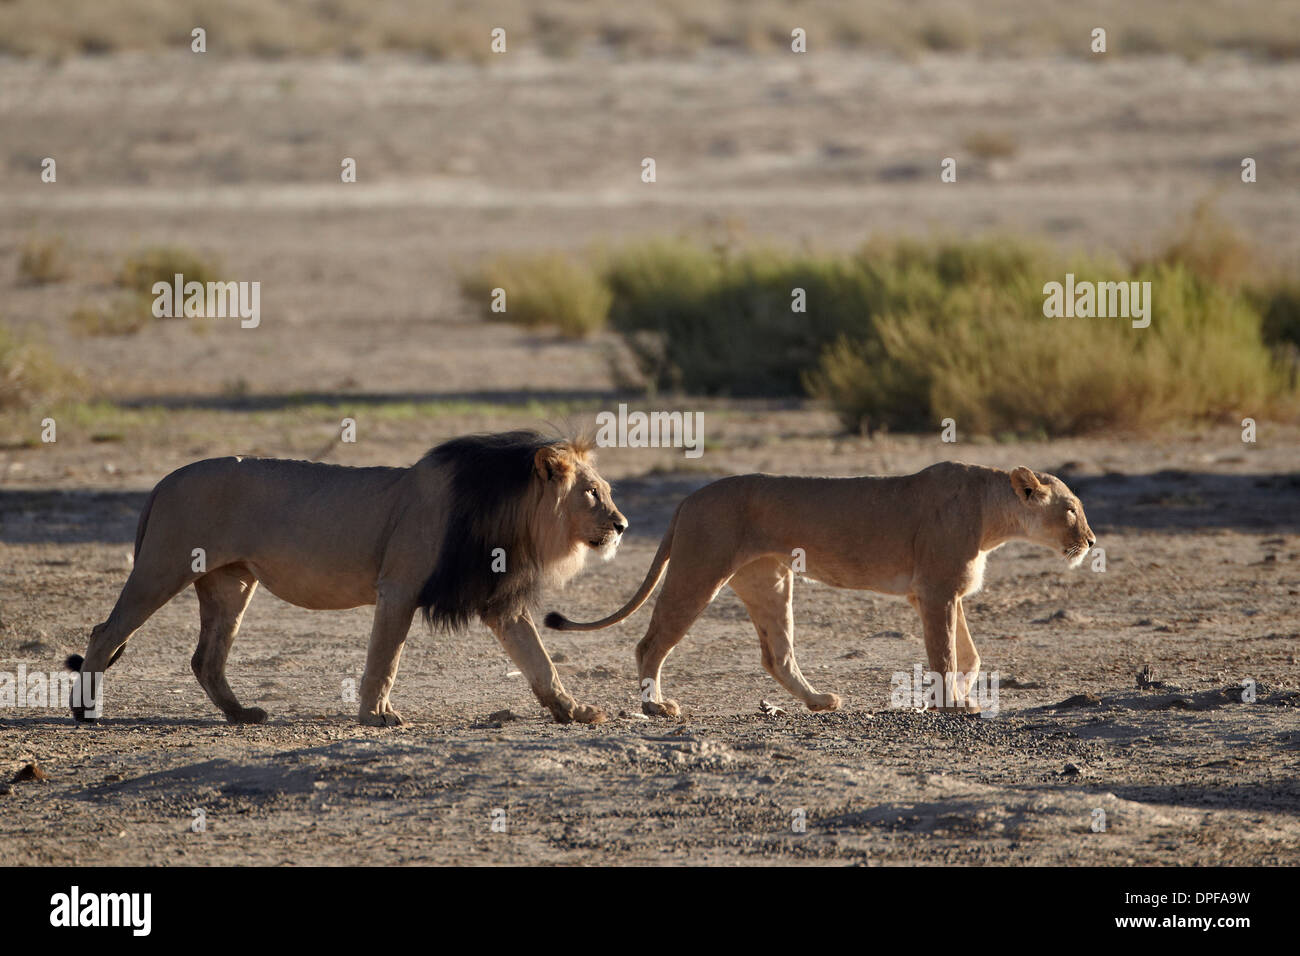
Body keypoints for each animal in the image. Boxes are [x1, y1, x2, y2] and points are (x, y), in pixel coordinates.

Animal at [71, 431, 629, 723]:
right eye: (593, 493)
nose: (623, 525)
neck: (515, 516)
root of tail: (164, 480)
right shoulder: (398, 588)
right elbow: (385, 658)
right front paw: (376, 715)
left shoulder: (500, 602)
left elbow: (539, 660)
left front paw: (574, 710)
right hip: (161, 567)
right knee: (106, 632)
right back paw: (85, 710)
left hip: (231, 584)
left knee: (206, 658)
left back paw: (242, 714)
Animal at [548, 463, 1097, 717]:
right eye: (1071, 509)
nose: (1091, 541)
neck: (993, 517)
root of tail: (688, 497)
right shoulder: (937, 589)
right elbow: (944, 653)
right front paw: (952, 705)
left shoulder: (945, 592)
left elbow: (971, 654)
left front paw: (963, 696)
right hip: (698, 570)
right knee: (650, 642)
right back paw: (655, 706)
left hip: (769, 580)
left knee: (777, 655)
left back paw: (818, 701)